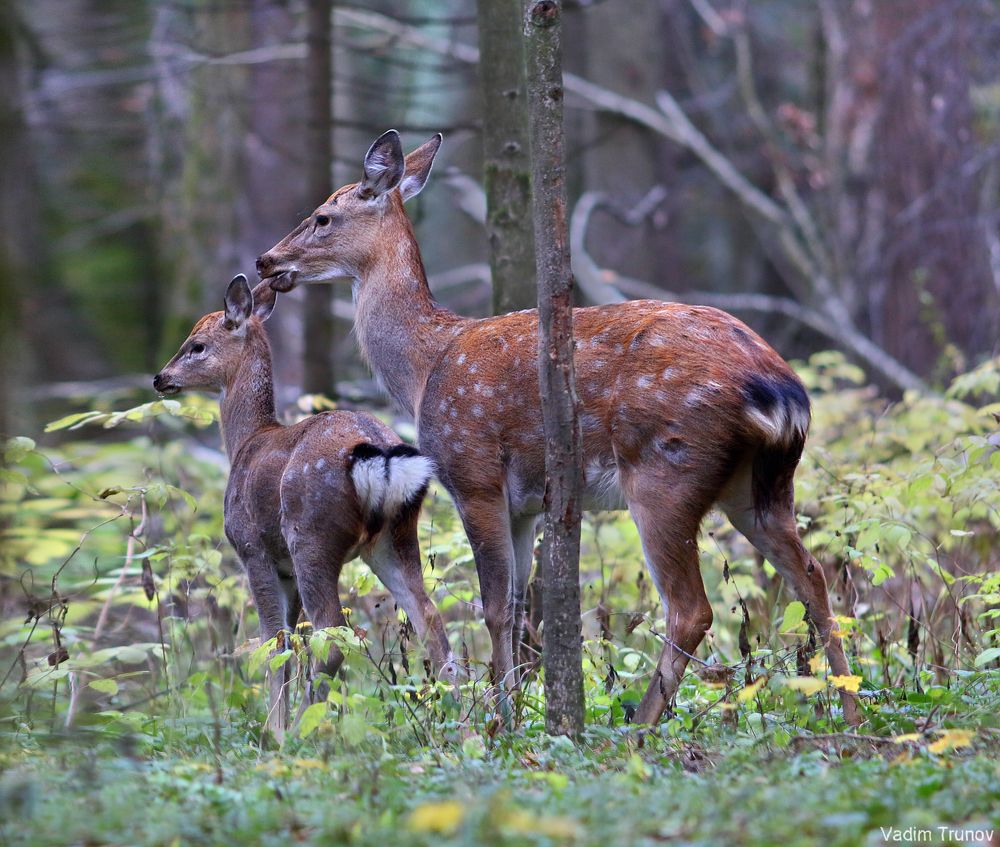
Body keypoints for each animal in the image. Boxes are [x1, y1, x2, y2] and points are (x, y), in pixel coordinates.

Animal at [153, 273, 459, 739]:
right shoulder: (284, 567)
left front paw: (273, 731)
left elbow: (275, 640)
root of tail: (378, 455)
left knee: (332, 634)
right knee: (430, 620)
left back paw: (301, 730)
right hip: (394, 535)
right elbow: (292, 642)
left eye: (197, 345)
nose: (160, 378)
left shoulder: (253, 549)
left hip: (311, 533)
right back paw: (466, 722)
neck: (246, 443)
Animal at [254, 130, 862, 728]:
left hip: (666, 471)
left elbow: (494, 606)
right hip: (760, 484)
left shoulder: (473, 473)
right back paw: (852, 710)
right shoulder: (524, 504)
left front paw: (499, 720)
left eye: (323, 216)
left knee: (692, 607)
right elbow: (520, 607)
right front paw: (515, 704)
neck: (426, 367)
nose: (265, 261)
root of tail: (781, 390)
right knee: (813, 577)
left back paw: (639, 728)